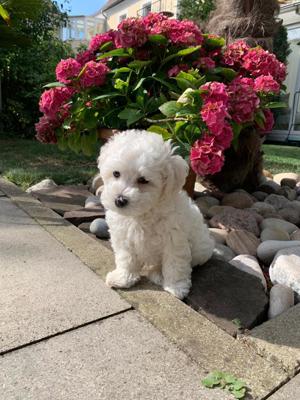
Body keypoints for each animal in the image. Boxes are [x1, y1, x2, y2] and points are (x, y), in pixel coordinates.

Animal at [99, 130, 214, 298]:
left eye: (143, 180)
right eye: (116, 173)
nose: (119, 200)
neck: (143, 213)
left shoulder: (174, 239)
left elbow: (175, 263)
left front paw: (176, 287)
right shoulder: (123, 237)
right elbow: (126, 258)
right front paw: (123, 278)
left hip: (201, 249)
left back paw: (158, 273)